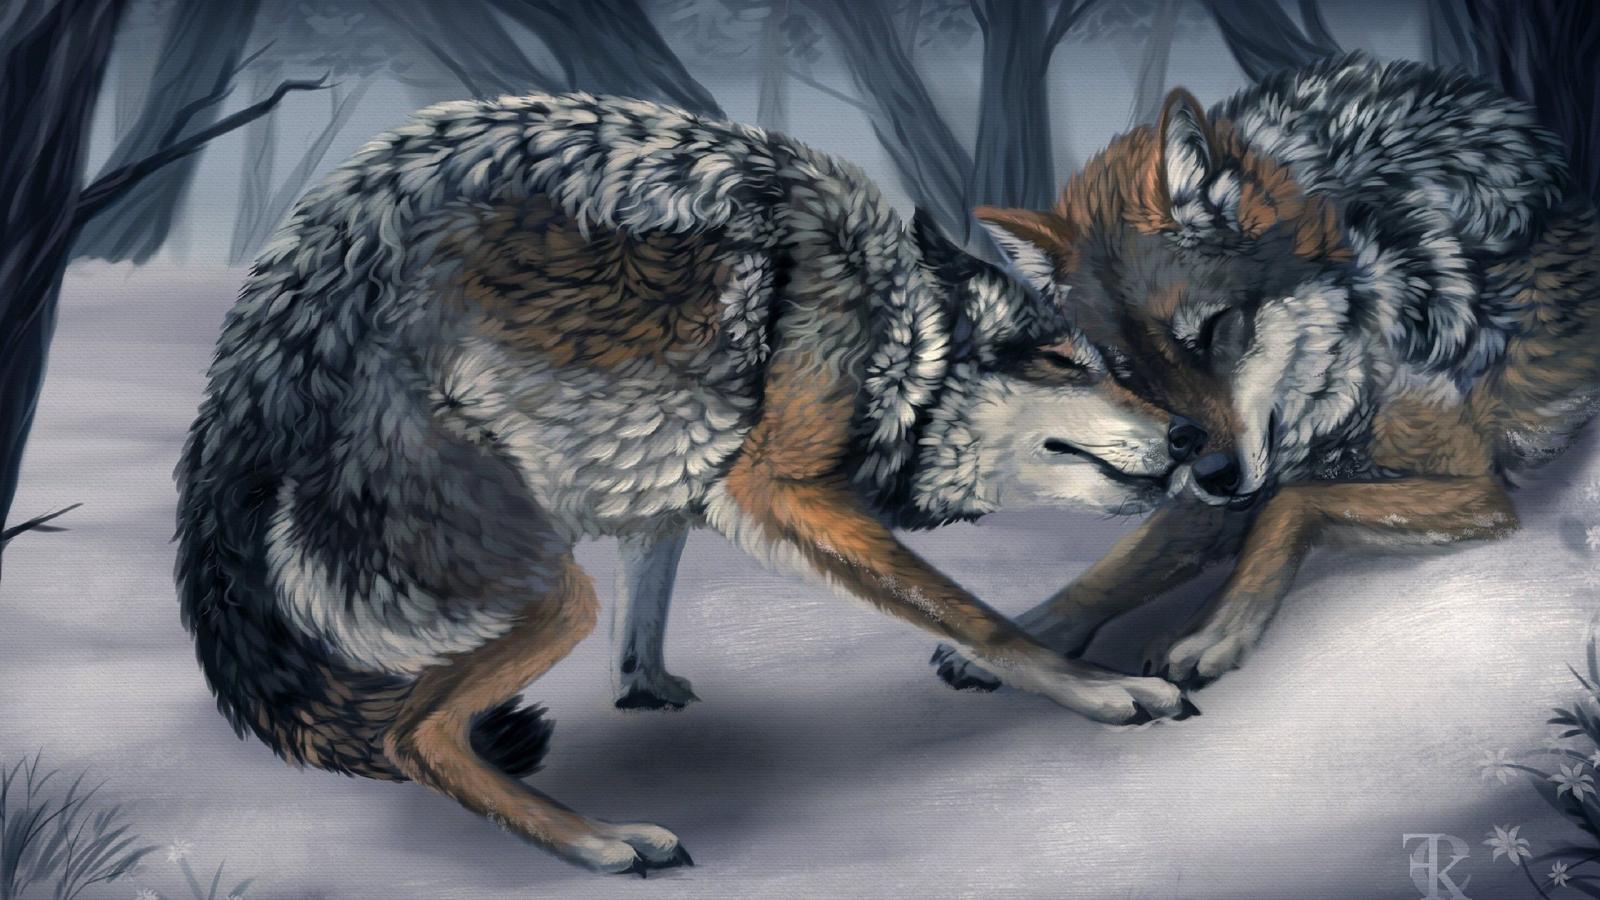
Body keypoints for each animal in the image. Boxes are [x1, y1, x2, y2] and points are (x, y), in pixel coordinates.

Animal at [175, 91, 1201, 875]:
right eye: (1066, 363)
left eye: (1111, 365)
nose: (1192, 435)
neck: (901, 333)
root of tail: (267, 341)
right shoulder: (777, 487)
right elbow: (974, 616)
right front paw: (1099, 690)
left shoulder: (680, 465)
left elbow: (648, 598)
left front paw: (647, 687)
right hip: (549, 591)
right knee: (411, 735)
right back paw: (599, 843)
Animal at [931, 53, 1600, 694]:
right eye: (1126, 371)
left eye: (1212, 329)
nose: (1213, 474)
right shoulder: (1215, 486)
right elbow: (1116, 566)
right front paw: (1007, 644)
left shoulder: (1477, 488)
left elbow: (1291, 505)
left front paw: (1212, 630)